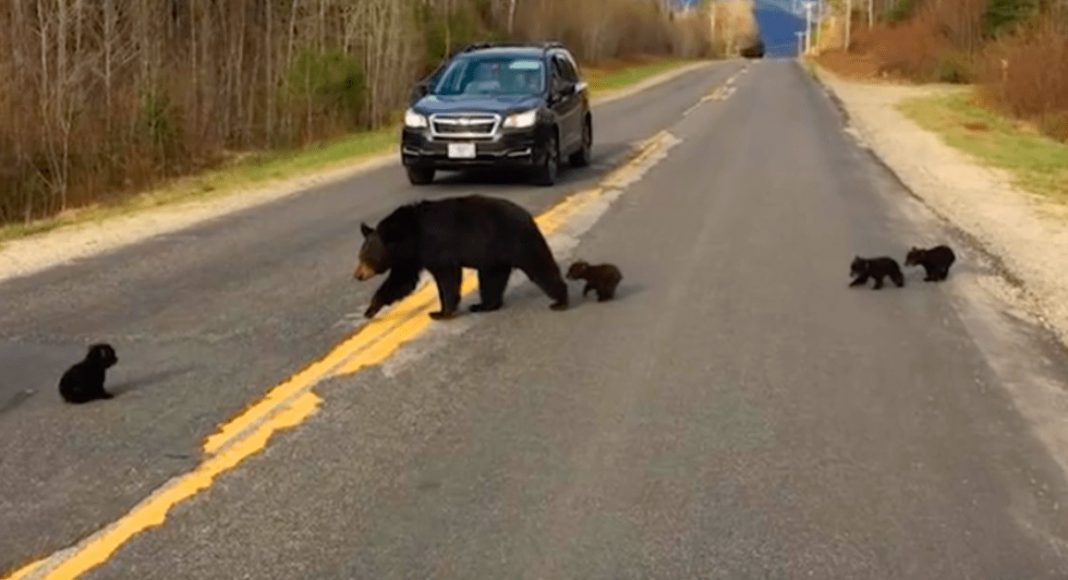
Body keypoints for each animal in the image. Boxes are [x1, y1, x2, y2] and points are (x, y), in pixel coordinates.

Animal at [352, 196, 572, 322]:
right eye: (359, 256)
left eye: (366, 257)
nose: (357, 275)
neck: (410, 235)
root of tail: (528, 216)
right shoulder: (410, 257)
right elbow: (401, 281)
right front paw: (371, 309)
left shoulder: (436, 246)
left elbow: (447, 277)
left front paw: (440, 312)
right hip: (494, 257)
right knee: (491, 280)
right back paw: (483, 305)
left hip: (518, 241)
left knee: (540, 266)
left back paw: (560, 300)